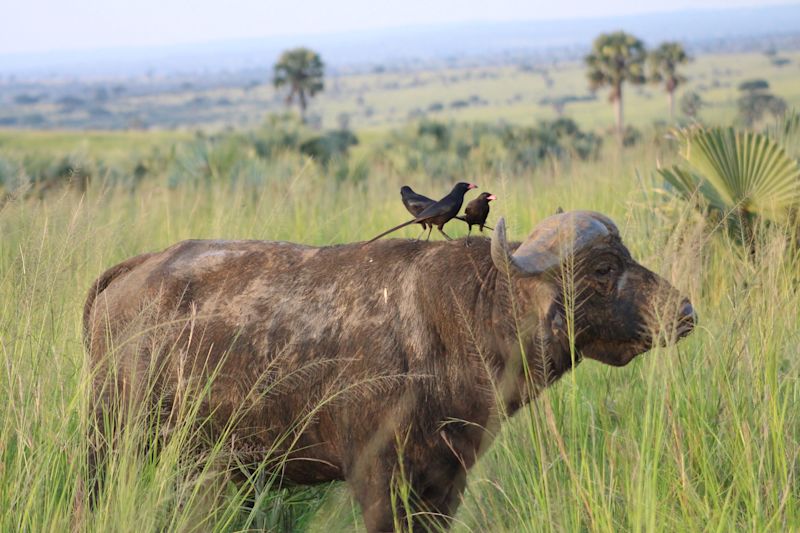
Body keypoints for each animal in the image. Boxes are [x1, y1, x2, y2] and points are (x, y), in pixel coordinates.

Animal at [83, 210, 692, 528]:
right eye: (604, 267)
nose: (684, 311)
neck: (462, 316)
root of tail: (135, 271)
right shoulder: (376, 477)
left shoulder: (446, 479)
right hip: (109, 443)